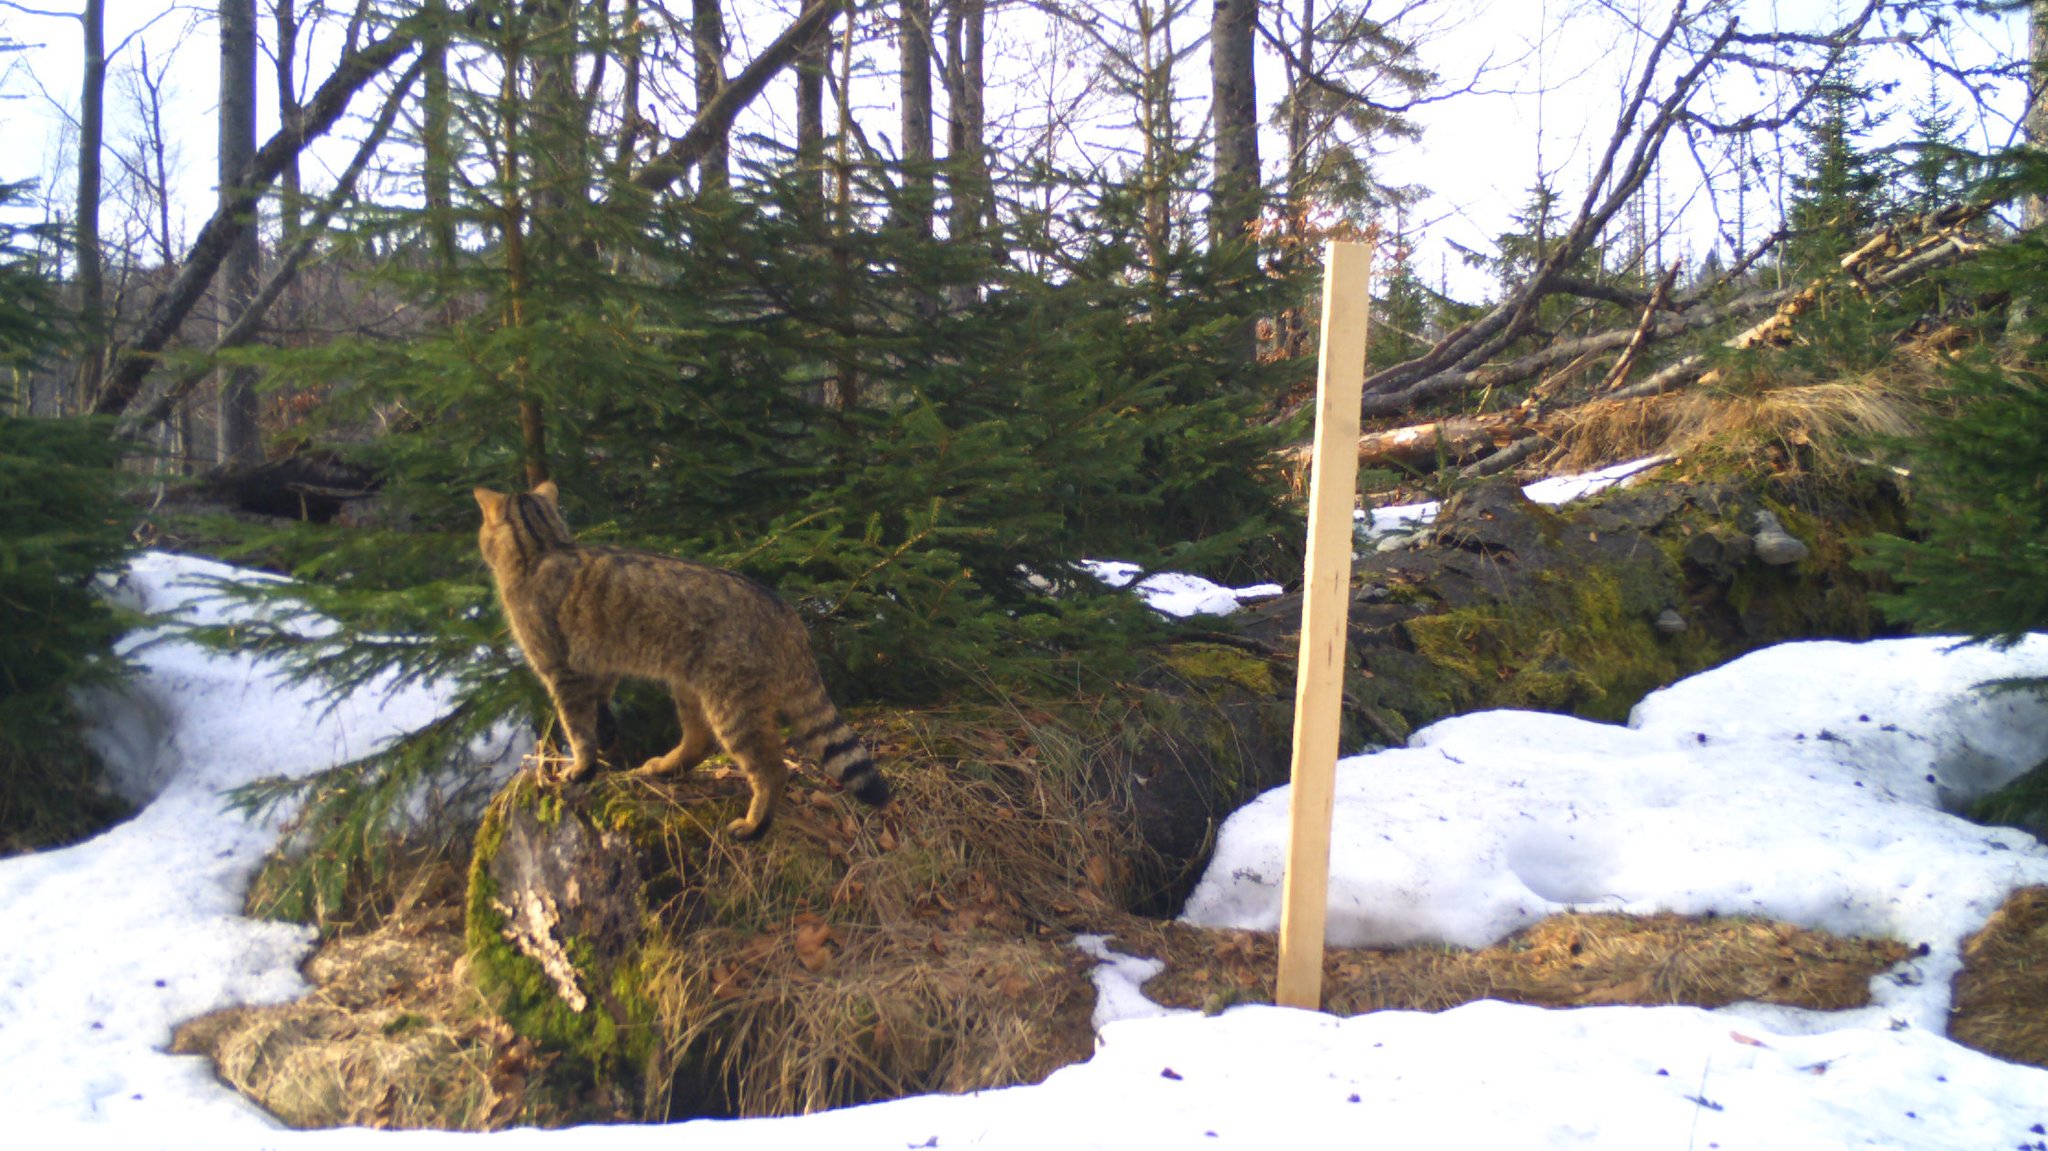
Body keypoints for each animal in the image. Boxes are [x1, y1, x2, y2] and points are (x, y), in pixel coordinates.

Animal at [479, 479, 897, 839]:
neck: (541, 545)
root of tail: (785, 613)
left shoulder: (561, 669)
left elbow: (577, 728)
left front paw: (582, 766)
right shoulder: (597, 662)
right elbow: (599, 704)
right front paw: (606, 730)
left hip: (730, 702)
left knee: (770, 768)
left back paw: (755, 822)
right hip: (689, 685)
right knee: (699, 741)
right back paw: (667, 766)